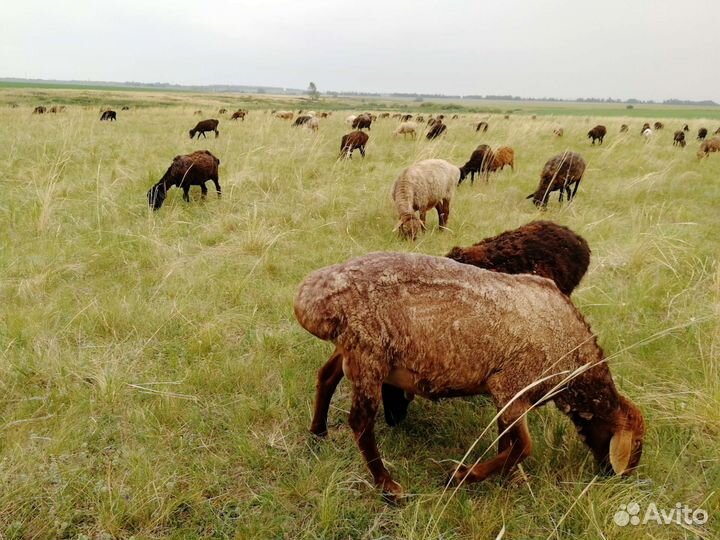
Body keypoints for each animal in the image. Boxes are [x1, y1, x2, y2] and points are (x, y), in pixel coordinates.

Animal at [295, 251, 645, 500]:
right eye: (635, 443)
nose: (616, 477)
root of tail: (308, 299)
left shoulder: (507, 396)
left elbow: (508, 442)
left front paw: (510, 478)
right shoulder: (511, 385)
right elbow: (523, 446)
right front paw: (462, 476)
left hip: (351, 349)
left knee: (326, 376)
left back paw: (318, 431)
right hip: (368, 354)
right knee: (360, 422)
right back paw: (388, 486)